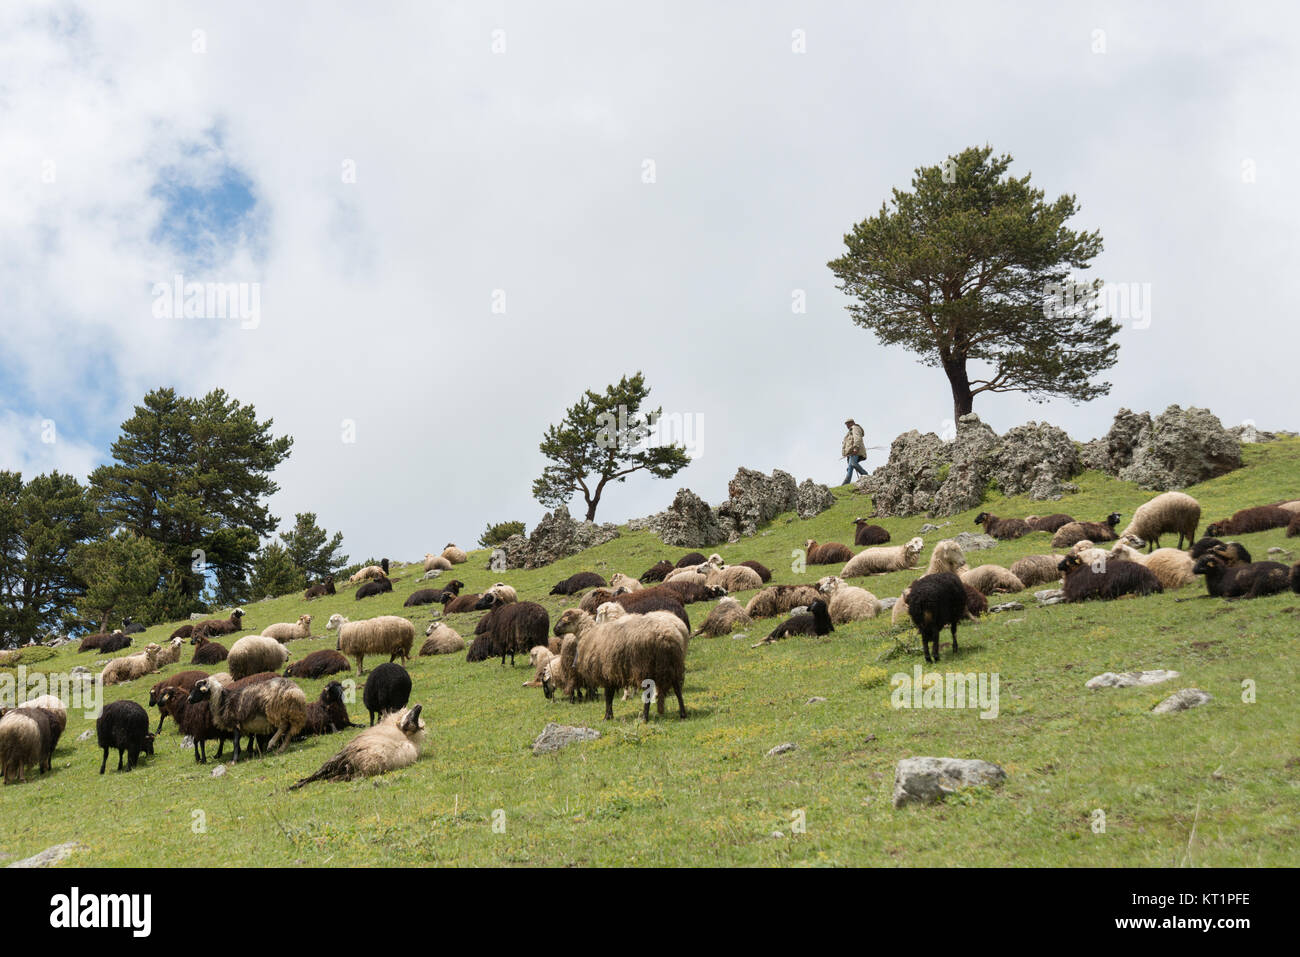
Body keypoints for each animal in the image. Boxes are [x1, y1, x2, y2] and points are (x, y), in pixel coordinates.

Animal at [289, 707, 426, 790]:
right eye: (410, 720)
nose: (418, 706)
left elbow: (317, 774)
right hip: (347, 769)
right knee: (328, 776)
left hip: (344, 762)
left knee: (321, 775)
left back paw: (294, 786)